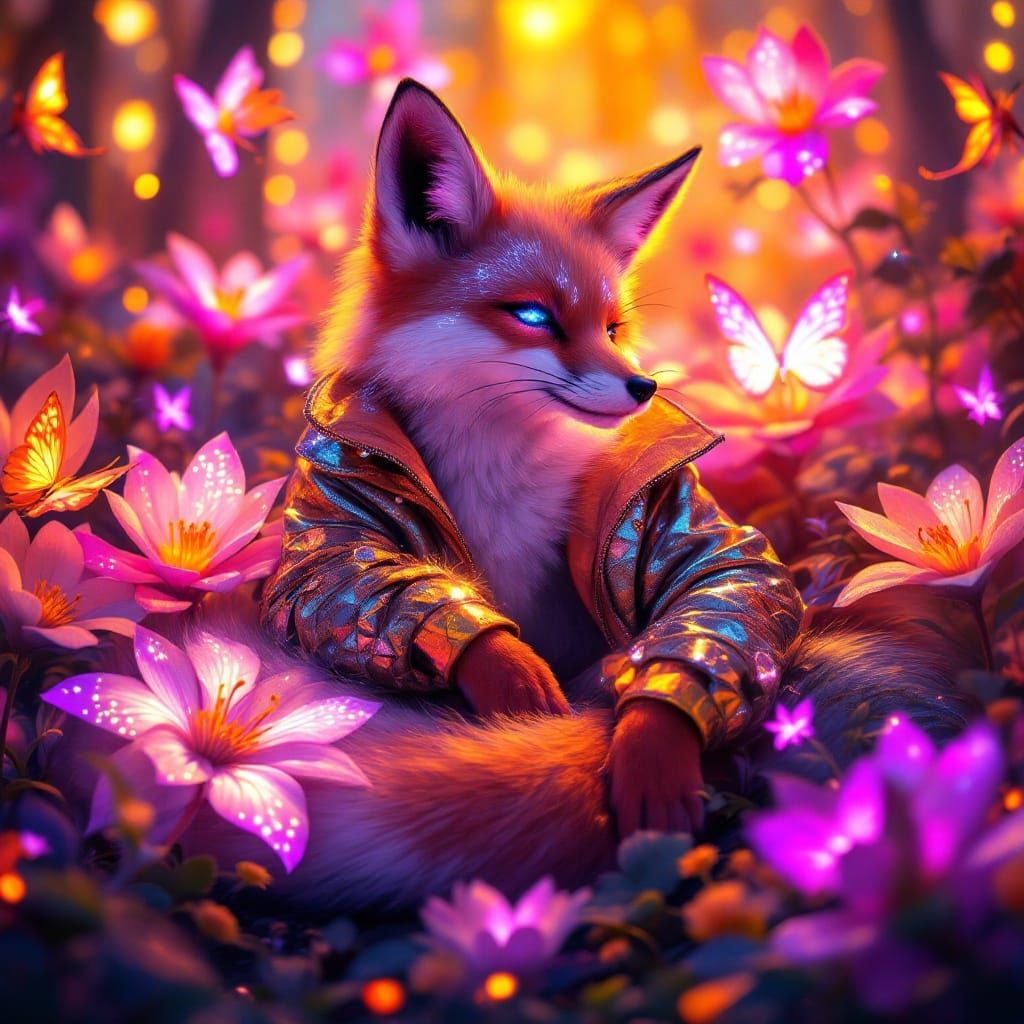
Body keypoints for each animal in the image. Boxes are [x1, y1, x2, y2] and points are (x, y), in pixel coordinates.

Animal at [63, 80, 976, 911]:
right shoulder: (333, 495)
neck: (499, 473)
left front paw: (651, 736)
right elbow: (328, 581)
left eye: (611, 326)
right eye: (533, 315)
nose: (644, 387)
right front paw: (503, 667)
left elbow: (727, 581)